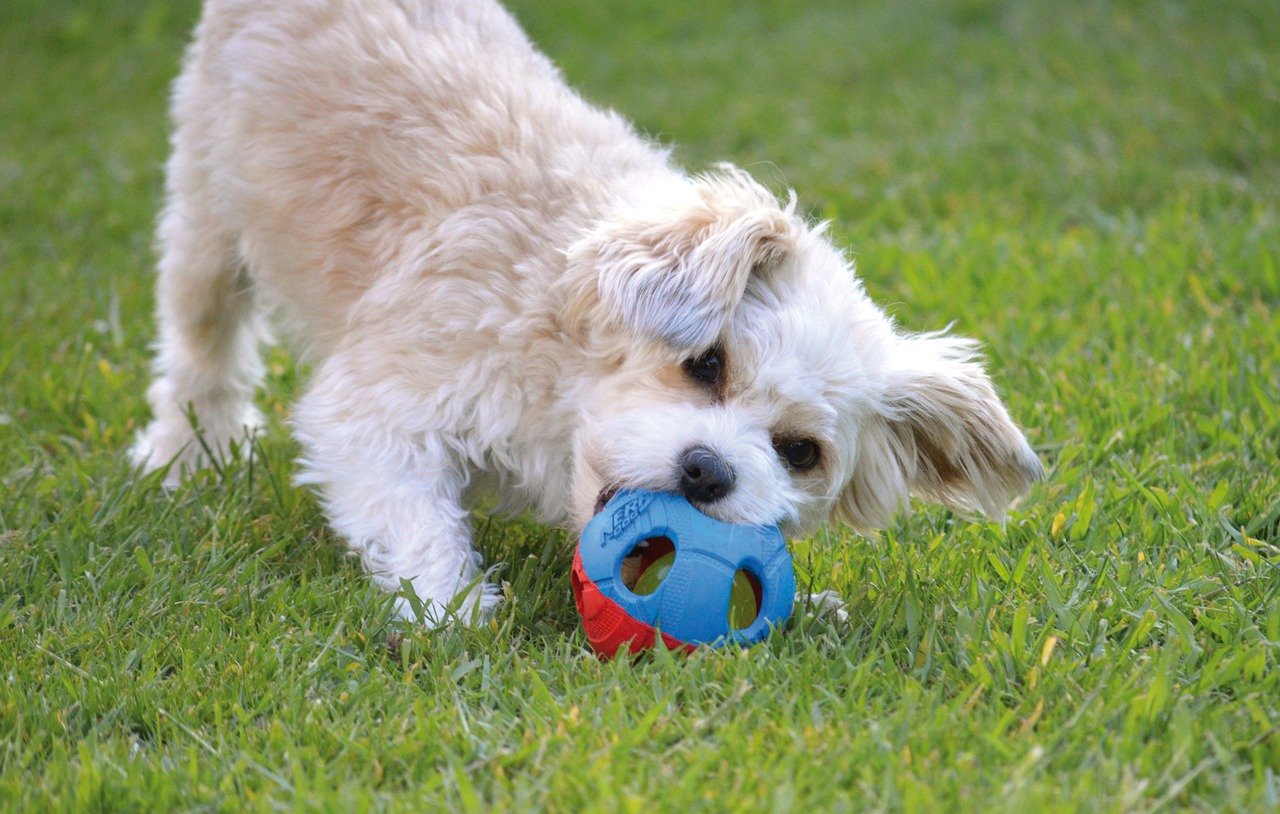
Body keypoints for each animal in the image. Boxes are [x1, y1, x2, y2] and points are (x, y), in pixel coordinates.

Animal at [135, 0, 1044, 622]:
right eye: (705, 363)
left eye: (800, 452)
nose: (706, 471)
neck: (561, 348)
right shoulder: (381, 403)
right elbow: (411, 514)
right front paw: (451, 608)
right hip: (205, 212)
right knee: (202, 347)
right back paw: (186, 453)